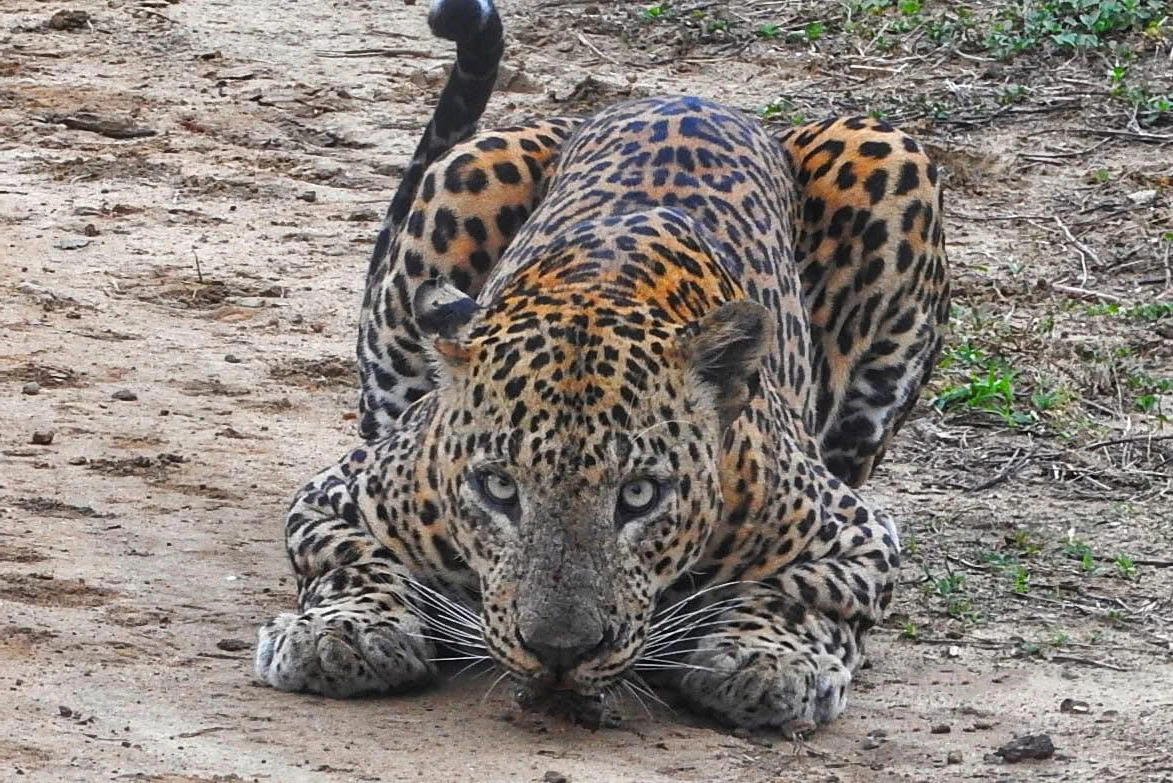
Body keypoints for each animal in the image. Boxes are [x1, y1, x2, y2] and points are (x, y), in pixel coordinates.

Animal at [254, 0, 949, 731]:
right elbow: (353, 559)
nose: (560, 650)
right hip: (464, 177)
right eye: (498, 488)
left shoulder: (857, 534)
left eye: (639, 494)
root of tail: (687, 96)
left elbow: (802, 590)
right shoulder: (337, 497)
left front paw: (769, 661)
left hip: (886, 153)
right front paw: (342, 632)